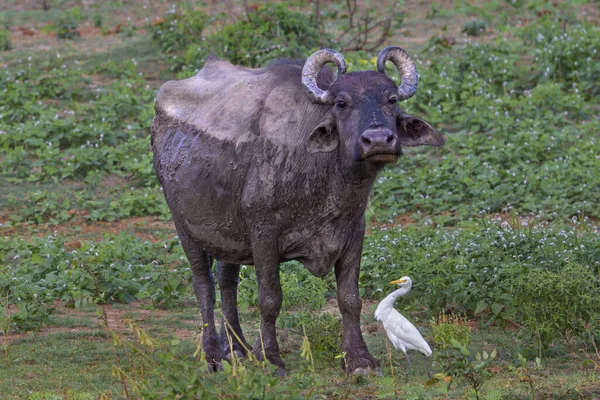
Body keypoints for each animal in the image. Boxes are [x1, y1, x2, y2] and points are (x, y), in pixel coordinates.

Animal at [151, 46, 446, 376]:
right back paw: (213, 354)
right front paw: (269, 358)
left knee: (227, 283)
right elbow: (270, 299)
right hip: (186, 228)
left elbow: (350, 298)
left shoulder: (353, 232)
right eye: (342, 103)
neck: (325, 179)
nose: (379, 140)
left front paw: (358, 359)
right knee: (204, 285)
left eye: (391, 99)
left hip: (228, 236)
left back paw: (237, 348)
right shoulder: (264, 236)